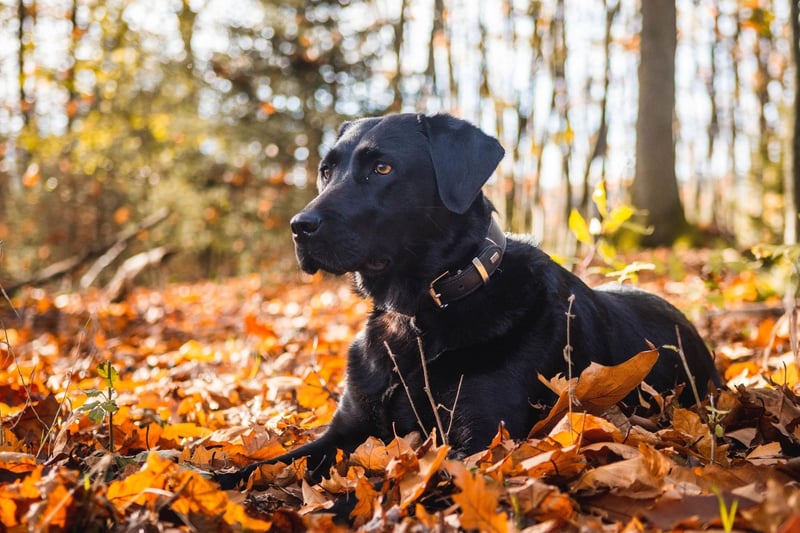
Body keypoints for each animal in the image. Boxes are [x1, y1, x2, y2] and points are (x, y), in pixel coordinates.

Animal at [217, 112, 720, 486]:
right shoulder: (349, 427)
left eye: (382, 168)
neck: (416, 317)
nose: (299, 227)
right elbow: (268, 465)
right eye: (326, 170)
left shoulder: (478, 443)